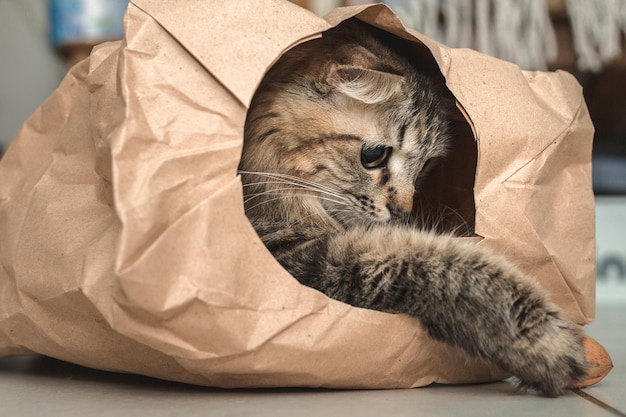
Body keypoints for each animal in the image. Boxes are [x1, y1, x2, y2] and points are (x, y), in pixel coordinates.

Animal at [238, 20, 584, 396]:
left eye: (426, 166)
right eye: (373, 155)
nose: (403, 211)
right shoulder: (301, 255)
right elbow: (437, 262)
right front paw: (547, 345)